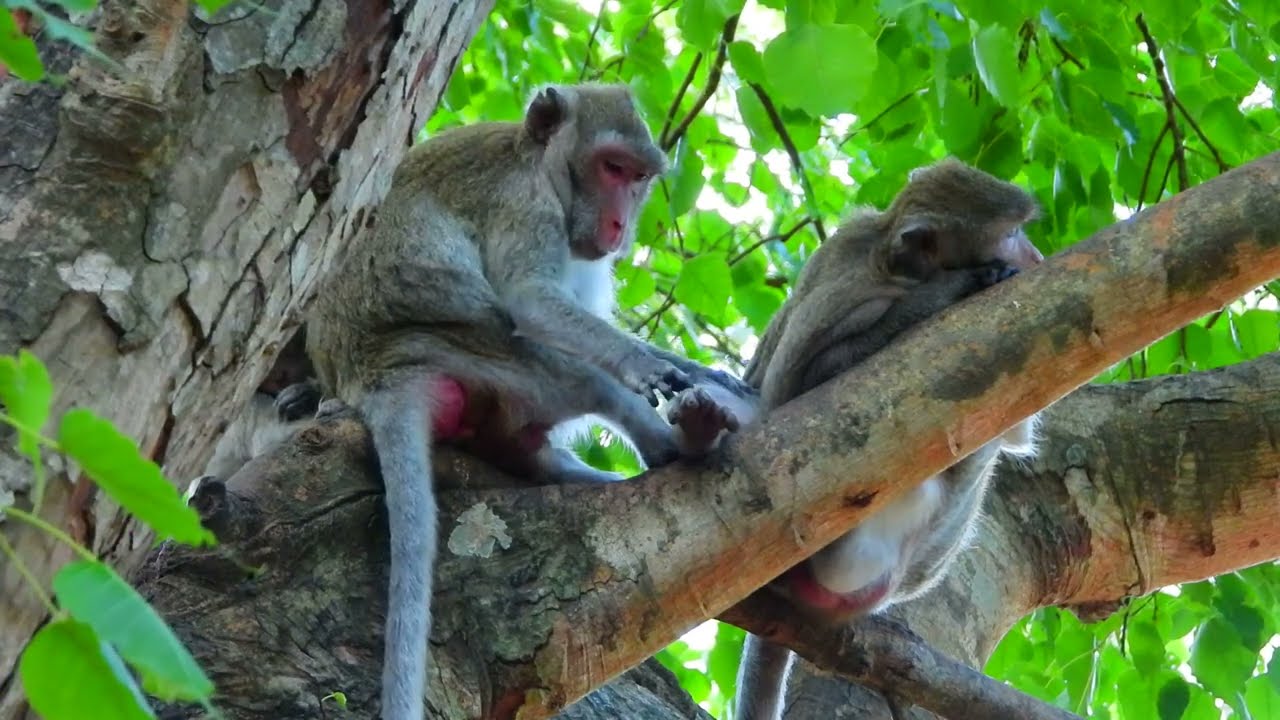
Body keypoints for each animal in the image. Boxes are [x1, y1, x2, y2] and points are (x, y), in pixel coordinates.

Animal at [302, 83, 743, 720]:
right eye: (612, 167)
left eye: (638, 177)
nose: (619, 223)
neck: (540, 160)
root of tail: (379, 379)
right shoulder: (526, 203)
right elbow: (532, 300)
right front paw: (642, 364)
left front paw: (694, 367)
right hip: (484, 363)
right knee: (569, 368)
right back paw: (678, 443)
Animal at [708, 158, 1045, 720]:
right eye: (1012, 234)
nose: (1038, 255)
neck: (893, 267)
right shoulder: (847, 282)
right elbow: (802, 384)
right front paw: (948, 292)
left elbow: (1015, 427)